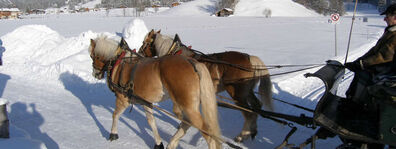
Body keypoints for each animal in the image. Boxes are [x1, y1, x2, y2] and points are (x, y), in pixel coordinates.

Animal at [88, 35, 221, 148]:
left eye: (92, 56)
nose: (95, 74)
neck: (119, 62)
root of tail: (192, 62)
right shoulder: (145, 102)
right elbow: (151, 122)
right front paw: (158, 143)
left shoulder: (122, 98)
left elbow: (115, 114)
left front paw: (113, 134)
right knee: (187, 123)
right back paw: (172, 143)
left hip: (187, 106)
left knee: (208, 134)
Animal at [138, 29, 274, 143]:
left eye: (144, 43)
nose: (139, 53)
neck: (176, 54)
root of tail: (250, 58)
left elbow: (177, 111)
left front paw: (183, 122)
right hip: (247, 92)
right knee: (256, 106)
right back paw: (253, 131)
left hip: (238, 94)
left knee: (249, 113)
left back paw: (242, 135)